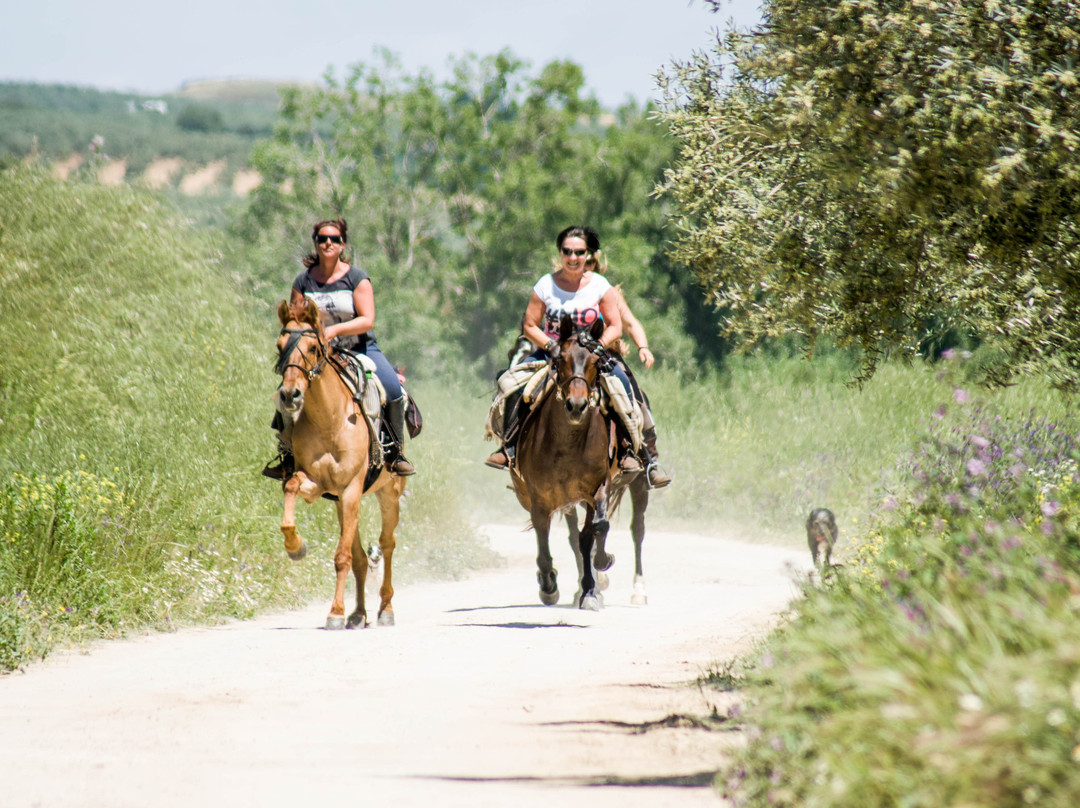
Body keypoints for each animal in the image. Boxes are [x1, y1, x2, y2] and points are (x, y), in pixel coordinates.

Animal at [270, 295, 406, 630]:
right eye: (280, 346)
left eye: (313, 348)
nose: (290, 395)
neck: (330, 420)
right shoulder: (318, 485)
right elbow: (290, 488)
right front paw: (295, 547)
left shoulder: (351, 489)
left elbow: (342, 557)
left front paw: (334, 612)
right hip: (342, 504)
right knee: (361, 556)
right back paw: (358, 614)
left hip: (388, 494)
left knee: (387, 544)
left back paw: (385, 609)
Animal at [509, 313, 630, 609]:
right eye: (560, 359)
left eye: (596, 361)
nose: (576, 405)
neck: (568, 443)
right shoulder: (539, 496)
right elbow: (543, 538)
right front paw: (548, 585)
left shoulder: (598, 488)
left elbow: (595, 531)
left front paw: (593, 583)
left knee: (583, 536)